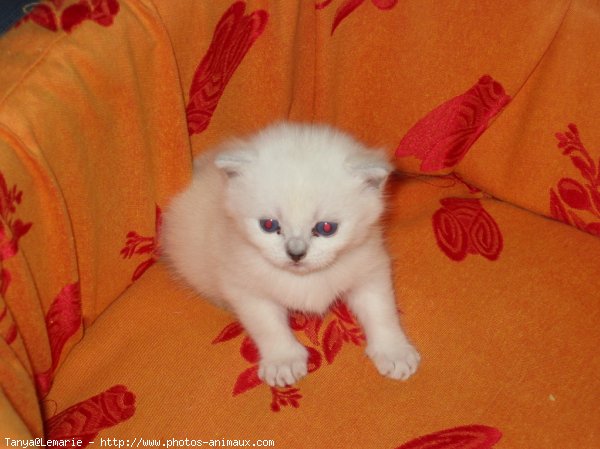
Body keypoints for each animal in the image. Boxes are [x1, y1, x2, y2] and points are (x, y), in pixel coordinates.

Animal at [162, 121, 420, 384]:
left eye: (326, 228)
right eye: (268, 225)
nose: (296, 253)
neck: (305, 278)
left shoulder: (371, 267)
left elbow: (382, 310)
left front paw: (394, 352)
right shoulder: (245, 287)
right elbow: (268, 325)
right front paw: (282, 361)